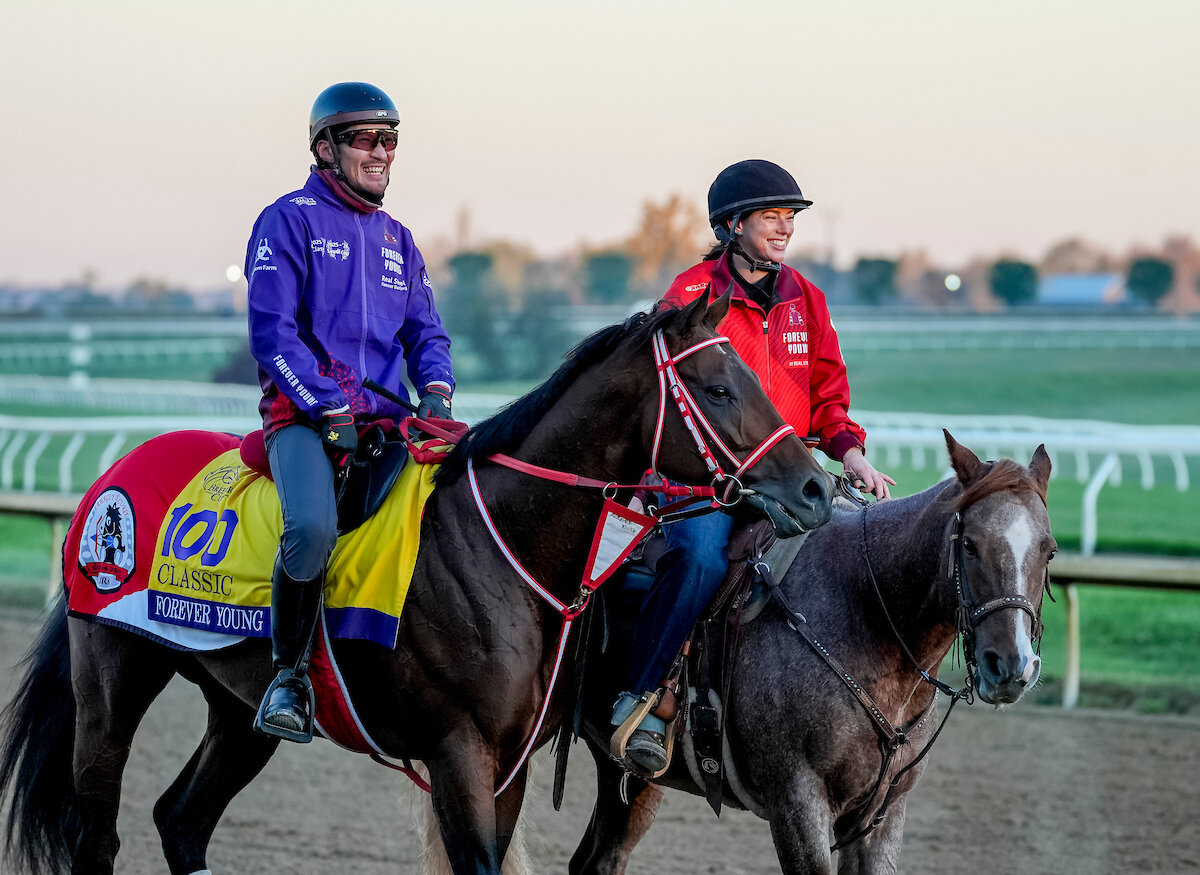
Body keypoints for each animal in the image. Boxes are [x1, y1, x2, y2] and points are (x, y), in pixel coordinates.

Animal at [0, 290, 835, 875]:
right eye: (718, 388)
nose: (816, 488)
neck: (503, 548)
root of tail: (108, 480)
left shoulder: (509, 764)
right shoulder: (458, 751)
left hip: (237, 707)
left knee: (180, 820)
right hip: (111, 684)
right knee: (97, 836)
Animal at [568, 432, 1055, 875]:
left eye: (1048, 550)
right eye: (969, 544)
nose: (1012, 665)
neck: (865, 611)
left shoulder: (883, 813)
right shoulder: (797, 804)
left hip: (626, 775)